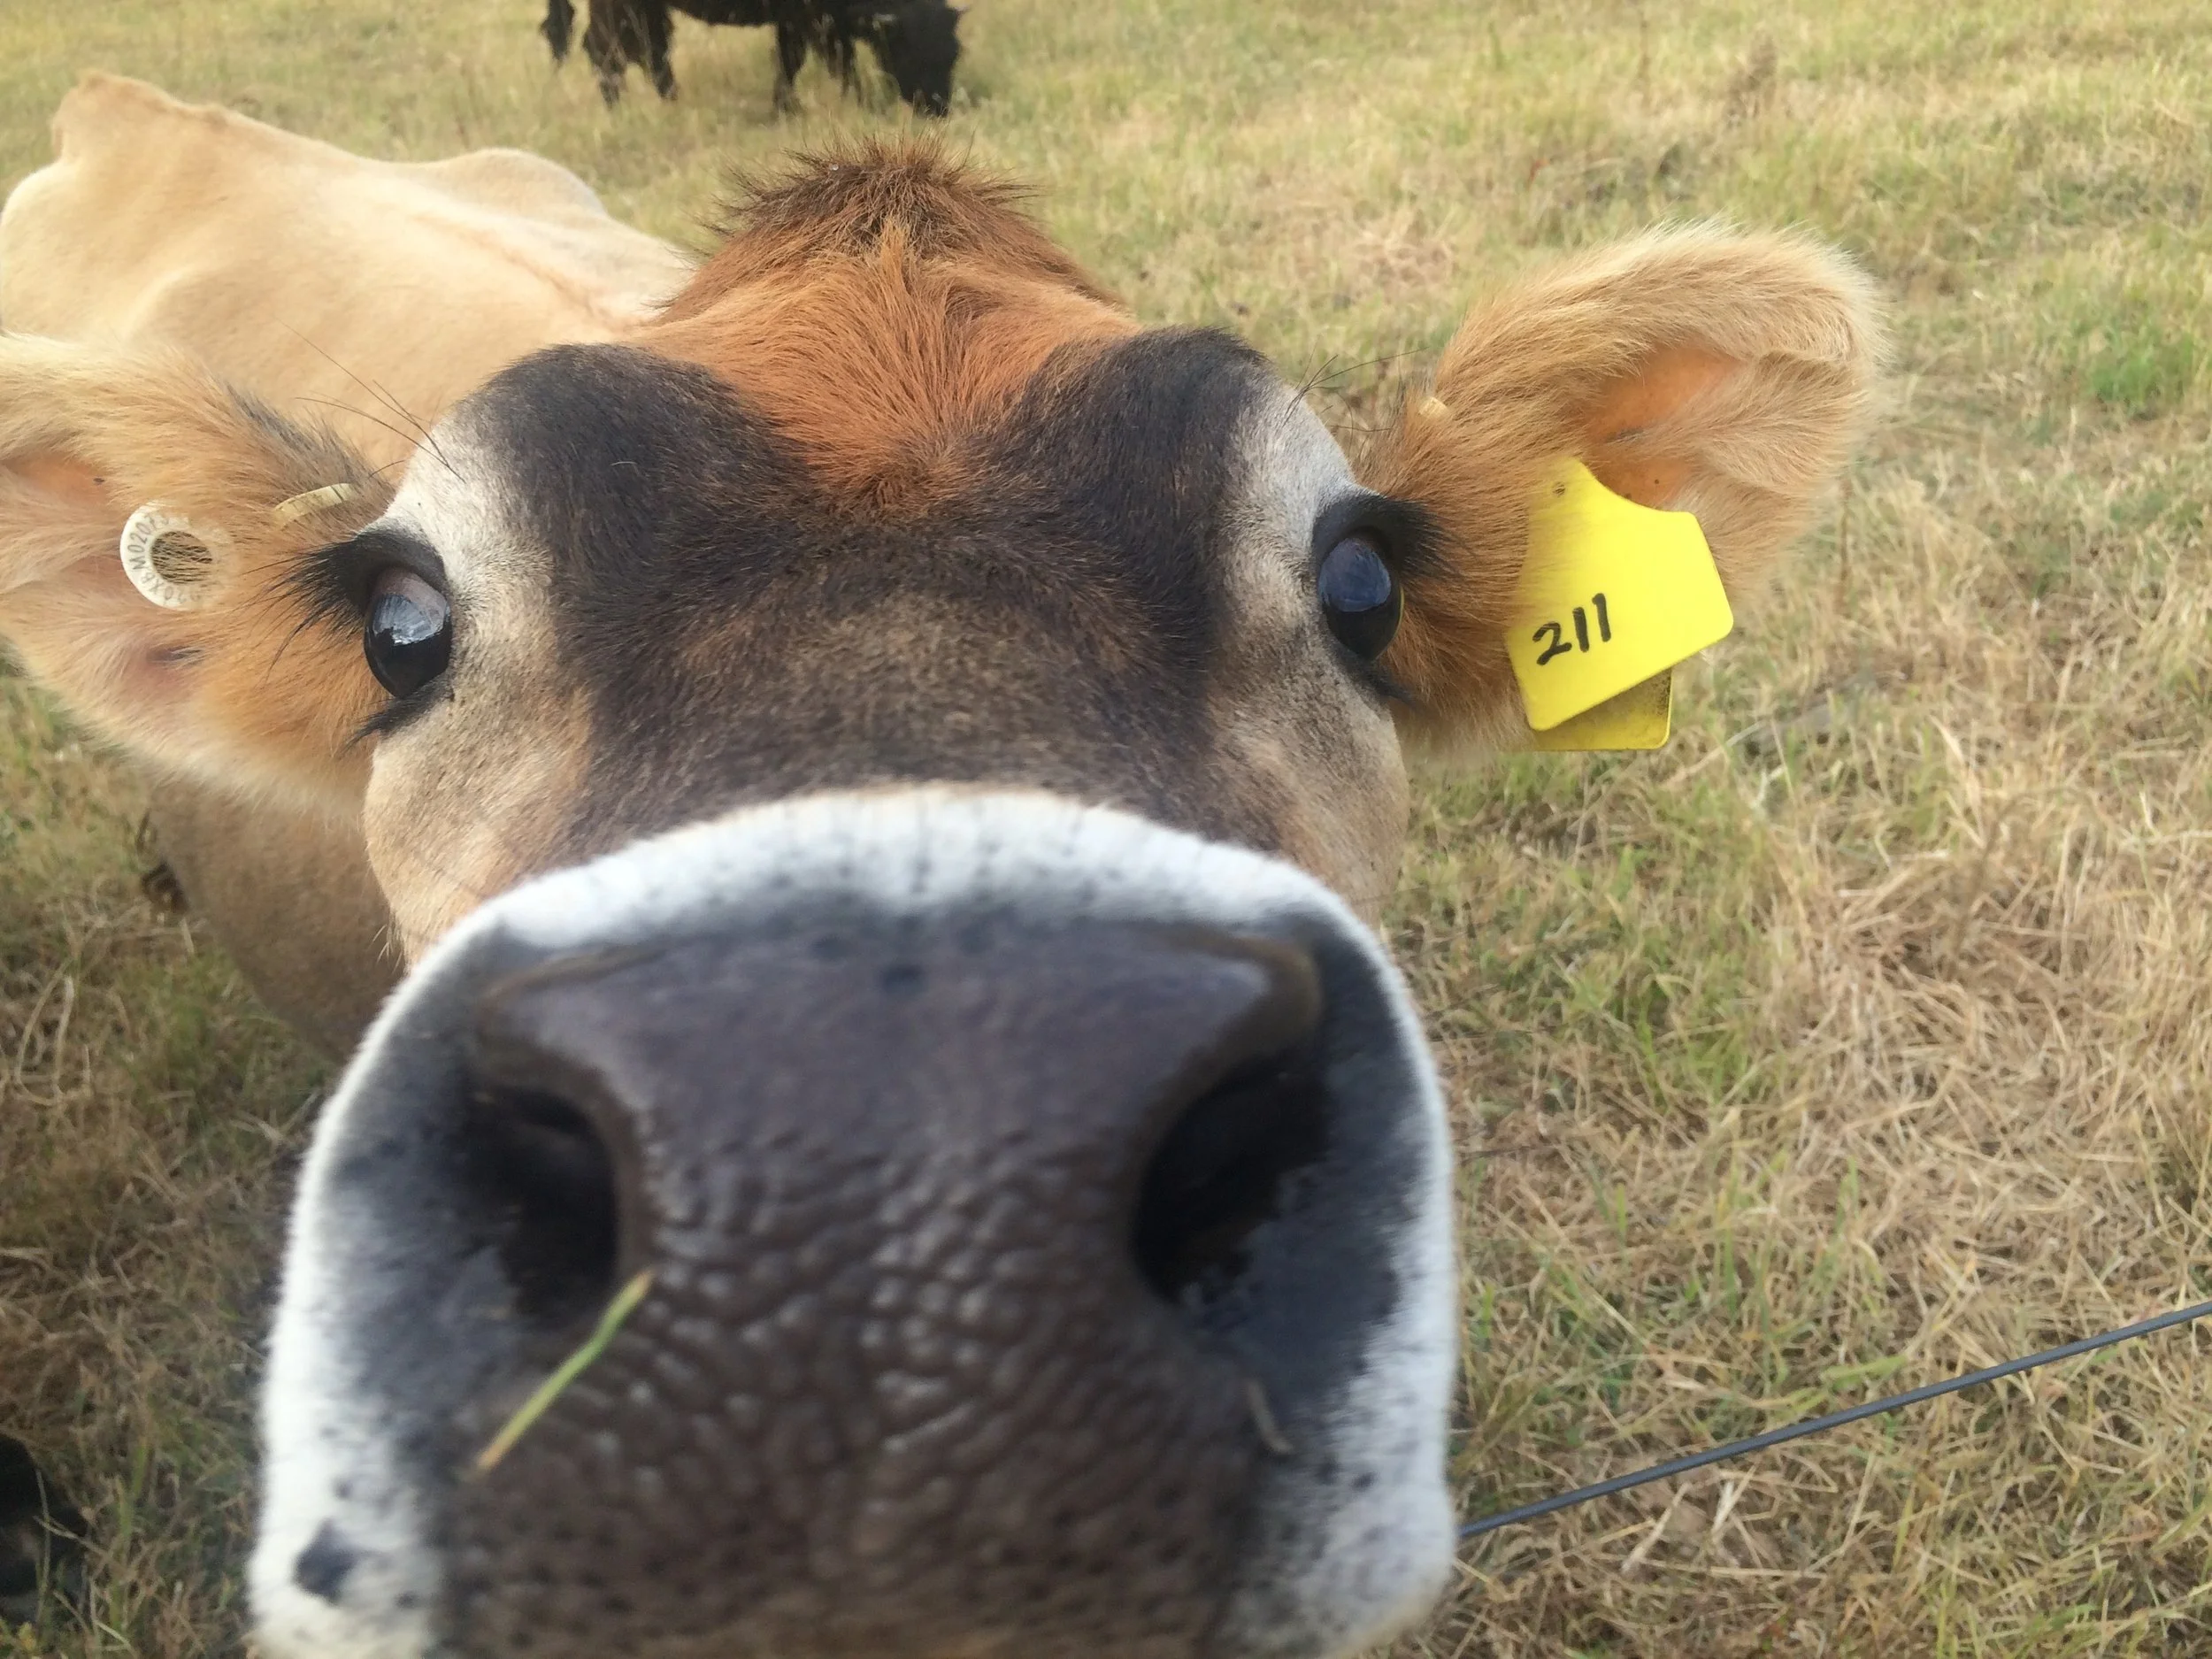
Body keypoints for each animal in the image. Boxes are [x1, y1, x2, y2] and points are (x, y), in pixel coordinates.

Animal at [542, 0, 962, 116]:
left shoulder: (800, 21)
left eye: (954, 52)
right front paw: (860, 104)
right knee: (607, 54)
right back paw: (621, 110)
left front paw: (785, 108)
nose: (937, 107)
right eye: (908, 48)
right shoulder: (814, 22)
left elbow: (790, 63)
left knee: (652, 55)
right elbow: (837, 64)